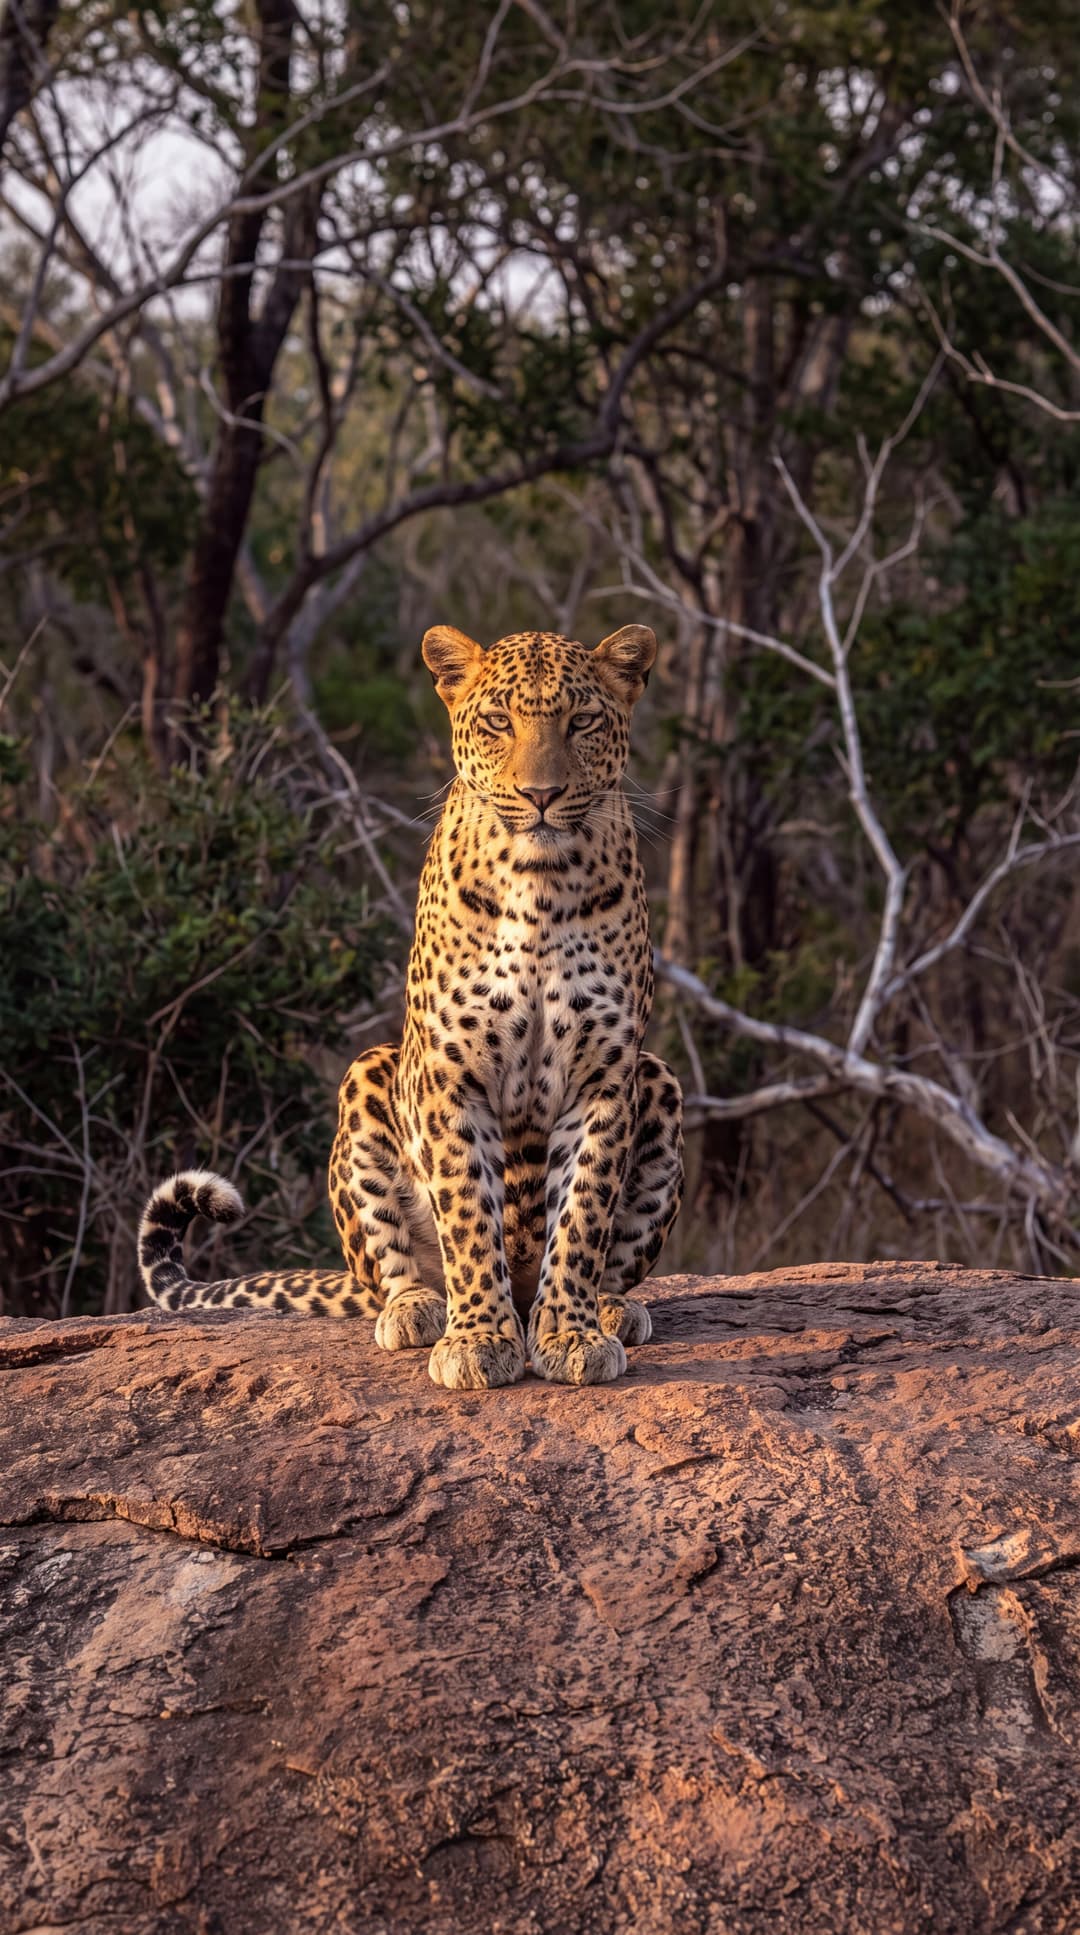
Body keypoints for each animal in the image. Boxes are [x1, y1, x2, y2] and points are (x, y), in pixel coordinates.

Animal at [138, 622, 684, 1389]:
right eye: (498, 722)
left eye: (582, 722)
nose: (541, 794)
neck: (542, 885)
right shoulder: (450, 1075)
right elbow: (468, 1214)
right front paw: (479, 1339)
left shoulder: (605, 1077)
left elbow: (580, 1217)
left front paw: (570, 1334)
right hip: (370, 1073)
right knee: (391, 1270)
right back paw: (419, 1310)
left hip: (659, 1079)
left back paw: (609, 1309)